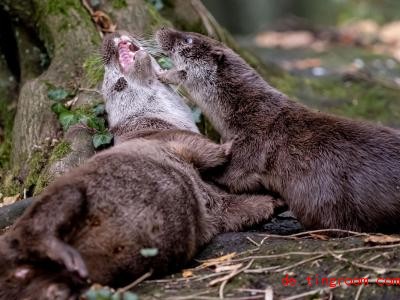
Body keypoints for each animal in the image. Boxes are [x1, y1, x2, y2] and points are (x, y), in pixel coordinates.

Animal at [0, 31, 284, 298]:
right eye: (110, 79)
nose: (108, 36)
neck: (150, 120)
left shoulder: (217, 206)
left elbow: (241, 208)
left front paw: (275, 201)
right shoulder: (168, 138)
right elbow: (205, 149)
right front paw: (228, 145)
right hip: (66, 193)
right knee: (35, 227)